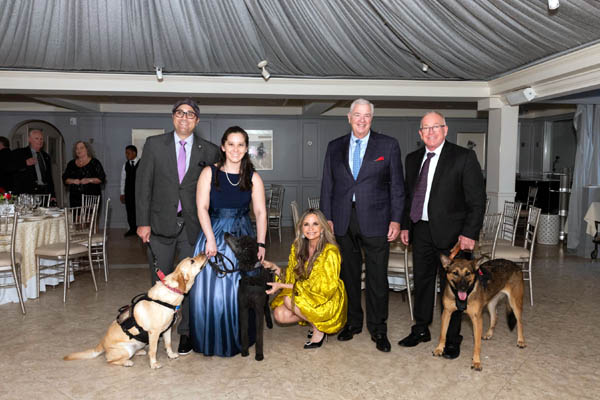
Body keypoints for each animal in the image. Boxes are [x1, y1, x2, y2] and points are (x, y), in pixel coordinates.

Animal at [64, 256, 207, 368]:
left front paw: (171, 355)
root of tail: (102, 344)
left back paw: (140, 352)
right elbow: (153, 350)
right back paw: (127, 362)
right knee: (110, 361)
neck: (169, 294)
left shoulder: (167, 330)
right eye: (192, 261)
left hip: (139, 343)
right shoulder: (154, 333)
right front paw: (154, 364)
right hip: (125, 350)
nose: (204, 252)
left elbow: (168, 344)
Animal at [224, 231, 274, 360]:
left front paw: (259, 355)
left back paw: (270, 322)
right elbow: (244, 332)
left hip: (267, 294)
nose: (226, 233)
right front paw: (244, 351)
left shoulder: (258, 309)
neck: (251, 277)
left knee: (266, 307)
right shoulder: (243, 308)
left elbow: (259, 335)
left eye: (238, 241)